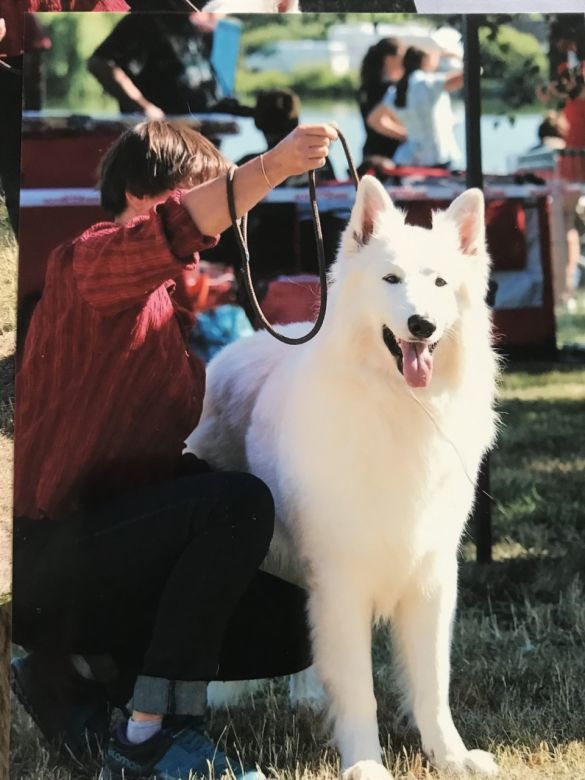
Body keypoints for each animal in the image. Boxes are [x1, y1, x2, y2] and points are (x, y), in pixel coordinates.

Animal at [186, 178, 498, 780]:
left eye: (441, 283)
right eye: (390, 280)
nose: (421, 326)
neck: (400, 406)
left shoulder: (431, 577)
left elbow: (432, 683)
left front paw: (450, 756)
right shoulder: (343, 578)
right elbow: (359, 690)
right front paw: (365, 763)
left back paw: (308, 697)